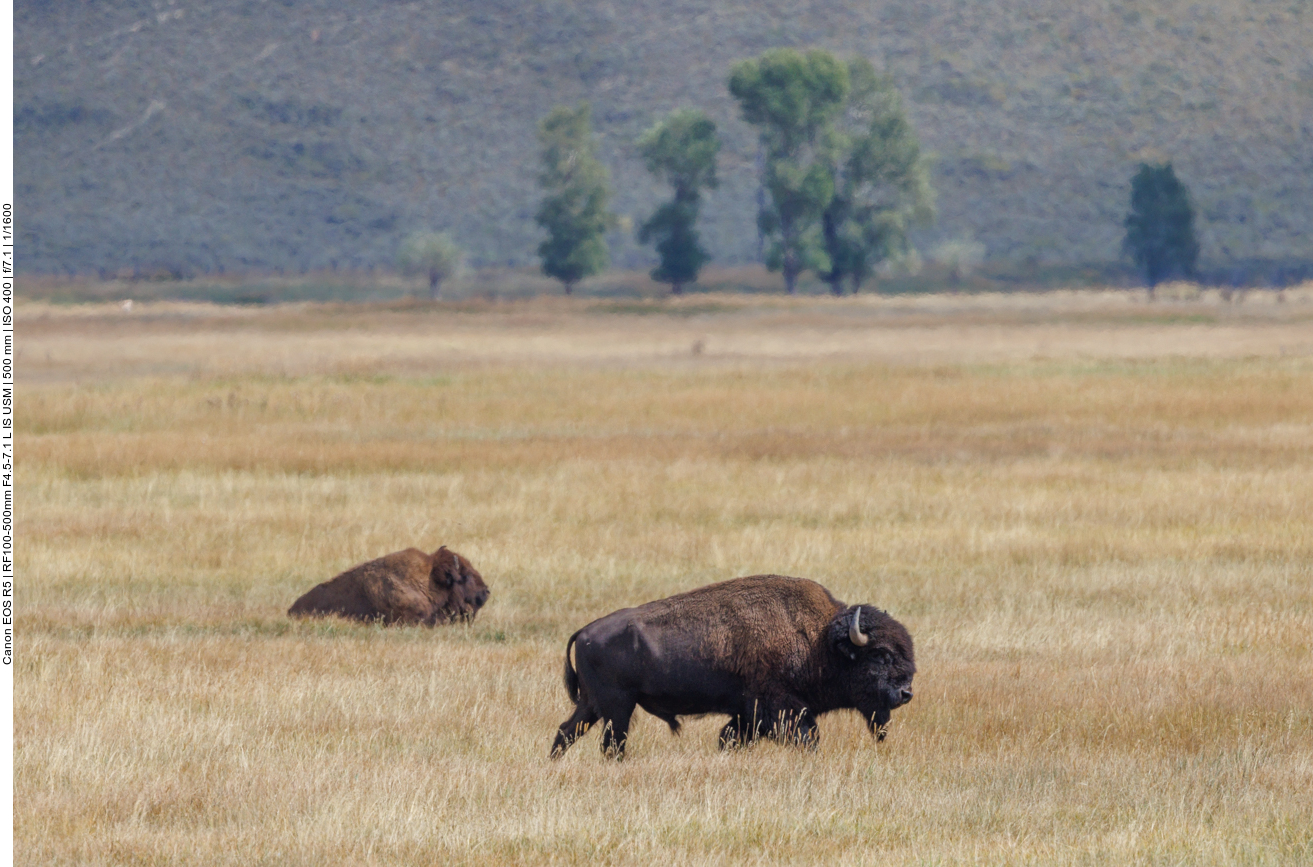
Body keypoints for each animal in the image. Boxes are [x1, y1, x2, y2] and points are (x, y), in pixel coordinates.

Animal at [551, 575, 913, 756]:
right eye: (880, 655)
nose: (906, 692)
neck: (819, 640)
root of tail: (584, 632)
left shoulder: (746, 715)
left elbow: (729, 737)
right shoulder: (780, 709)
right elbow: (808, 737)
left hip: (593, 705)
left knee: (566, 732)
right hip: (617, 707)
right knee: (611, 743)